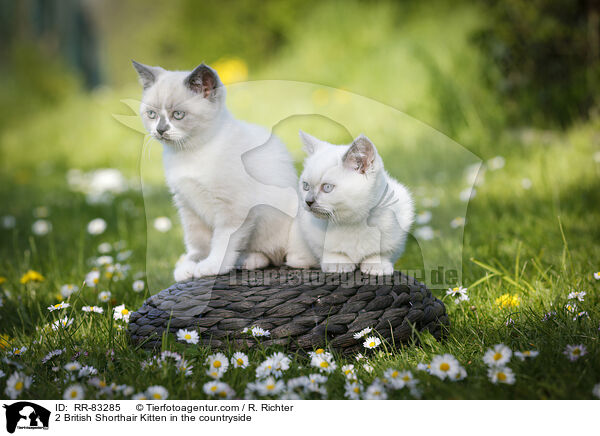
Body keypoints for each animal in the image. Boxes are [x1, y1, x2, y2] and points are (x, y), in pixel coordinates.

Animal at [131, 60, 300, 280]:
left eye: (178, 115)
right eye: (152, 114)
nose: (160, 130)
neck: (189, 153)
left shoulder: (233, 207)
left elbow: (223, 240)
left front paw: (211, 266)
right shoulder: (188, 205)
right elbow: (197, 242)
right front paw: (190, 265)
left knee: (277, 254)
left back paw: (250, 260)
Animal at [288, 130, 414, 276]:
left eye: (327, 187)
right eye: (306, 186)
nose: (308, 201)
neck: (353, 222)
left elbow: (381, 252)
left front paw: (377, 265)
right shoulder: (310, 233)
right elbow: (328, 250)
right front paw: (338, 263)